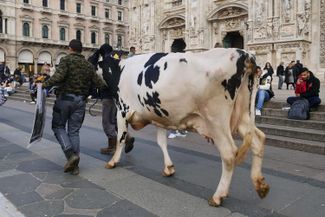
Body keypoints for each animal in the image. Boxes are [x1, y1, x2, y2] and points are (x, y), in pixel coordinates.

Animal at [104, 48, 268, 207]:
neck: (121, 69)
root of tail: (245, 54)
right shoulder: (159, 115)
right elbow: (161, 142)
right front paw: (168, 168)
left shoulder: (122, 110)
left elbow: (121, 137)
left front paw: (113, 161)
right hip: (242, 114)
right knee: (258, 139)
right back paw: (260, 185)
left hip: (216, 120)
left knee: (229, 153)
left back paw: (218, 196)